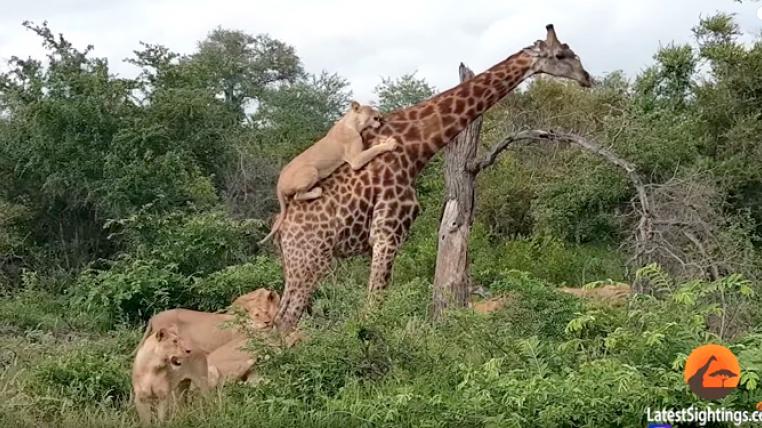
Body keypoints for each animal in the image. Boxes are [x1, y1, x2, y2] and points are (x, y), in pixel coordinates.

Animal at [272, 24, 592, 332]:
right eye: (561, 55)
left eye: (572, 52)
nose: (587, 77)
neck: (417, 147)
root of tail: (282, 228)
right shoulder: (387, 232)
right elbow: (373, 308)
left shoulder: (389, 235)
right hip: (312, 259)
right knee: (286, 321)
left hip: (294, 264)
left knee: (279, 319)